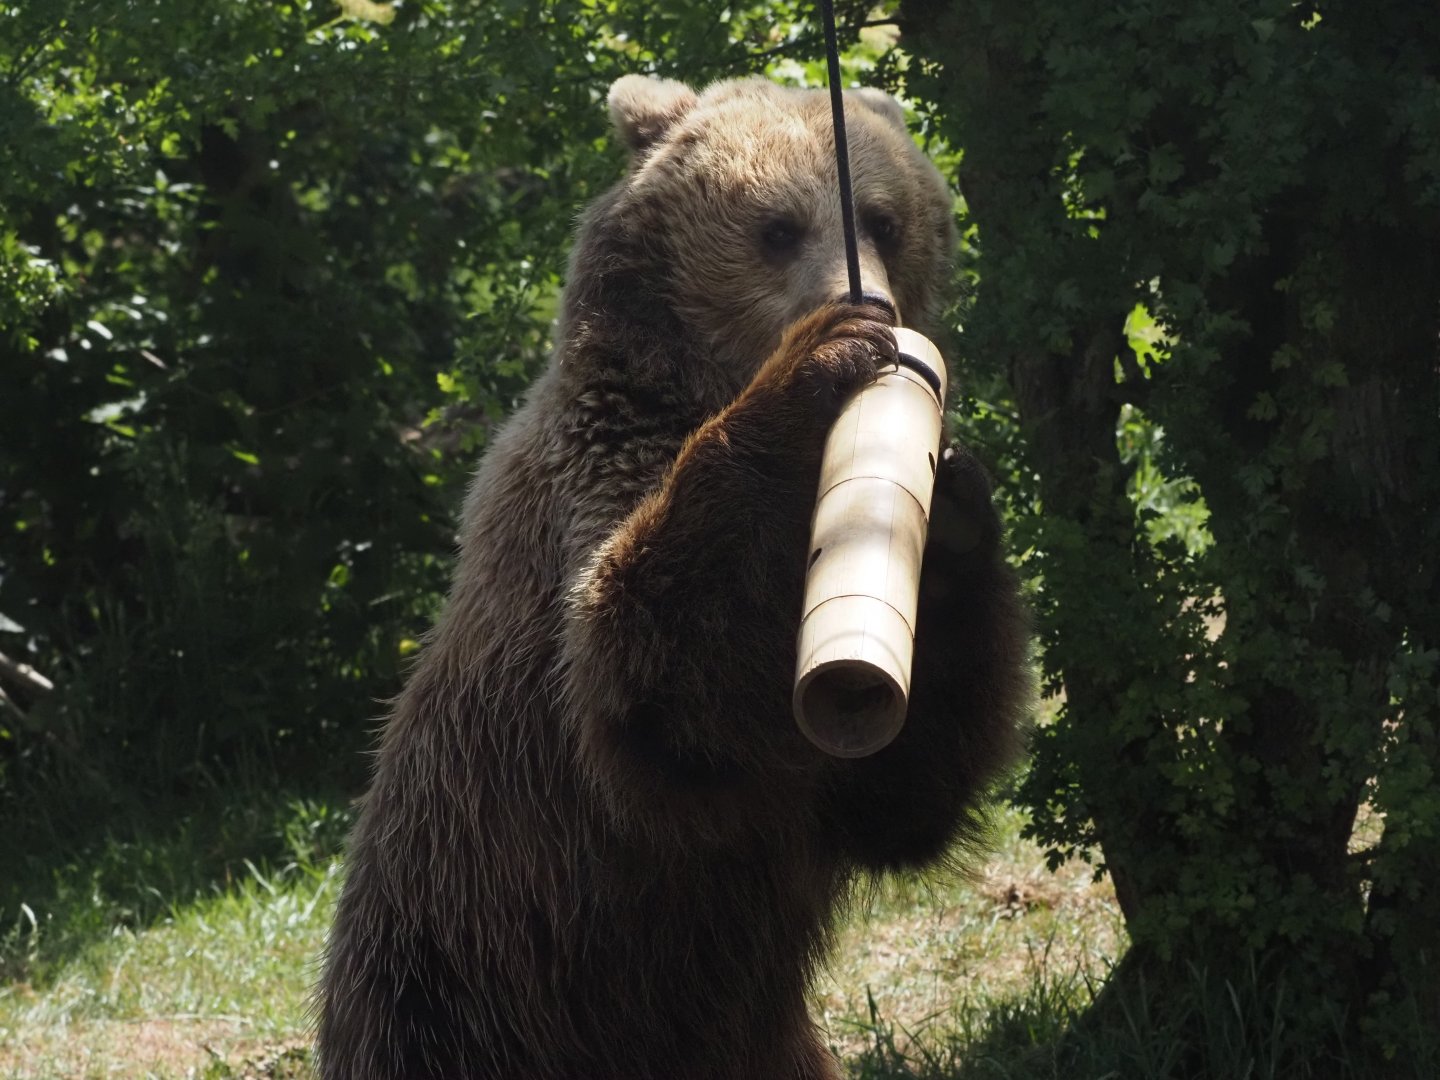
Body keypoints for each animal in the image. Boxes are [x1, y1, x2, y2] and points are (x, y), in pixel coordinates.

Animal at [316, 74, 1028, 1080]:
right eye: (778, 226)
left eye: (886, 219)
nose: (870, 302)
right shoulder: (588, 507)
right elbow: (651, 679)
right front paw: (819, 359)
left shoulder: (811, 789)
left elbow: (899, 785)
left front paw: (958, 512)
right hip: (467, 983)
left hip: (755, 1039)